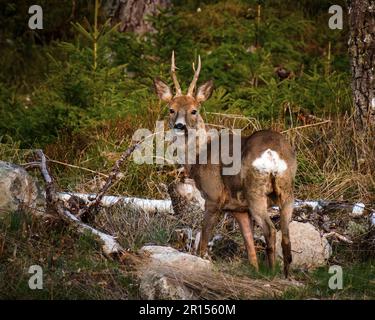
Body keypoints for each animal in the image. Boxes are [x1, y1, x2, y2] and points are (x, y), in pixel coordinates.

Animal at [154, 51, 298, 276]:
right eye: (171, 109)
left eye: (194, 110)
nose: (179, 126)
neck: (199, 157)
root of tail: (273, 154)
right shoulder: (238, 208)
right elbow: (249, 245)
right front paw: (254, 270)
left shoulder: (213, 197)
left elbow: (203, 240)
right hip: (287, 189)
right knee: (285, 235)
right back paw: (285, 275)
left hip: (256, 190)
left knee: (271, 231)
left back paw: (272, 272)